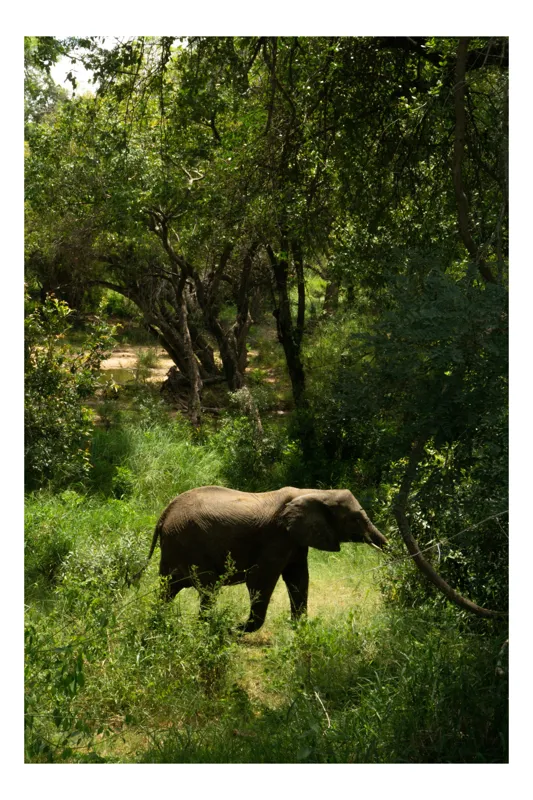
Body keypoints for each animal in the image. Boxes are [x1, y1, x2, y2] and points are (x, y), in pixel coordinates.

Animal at [139, 485, 387, 633]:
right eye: (355, 519)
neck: (316, 492)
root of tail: (164, 513)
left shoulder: (295, 540)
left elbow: (298, 577)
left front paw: (299, 629)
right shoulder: (277, 537)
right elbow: (261, 578)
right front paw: (238, 629)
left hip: (175, 545)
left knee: (168, 588)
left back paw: (159, 622)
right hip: (189, 543)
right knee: (208, 587)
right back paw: (207, 628)